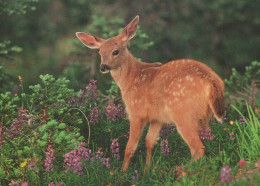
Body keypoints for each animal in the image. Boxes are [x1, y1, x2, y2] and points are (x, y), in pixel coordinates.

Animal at [75, 15, 225, 172]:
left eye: (115, 51)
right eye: (100, 52)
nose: (103, 67)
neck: (131, 79)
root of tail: (212, 82)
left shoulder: (137, 112)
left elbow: (130, 147)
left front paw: (122, 172)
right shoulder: (157, 118)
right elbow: (150, 141)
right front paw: (147, 170)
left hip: (184, 114)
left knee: (198, 149)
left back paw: (181, 172)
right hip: (204, 116)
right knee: (208, 141)